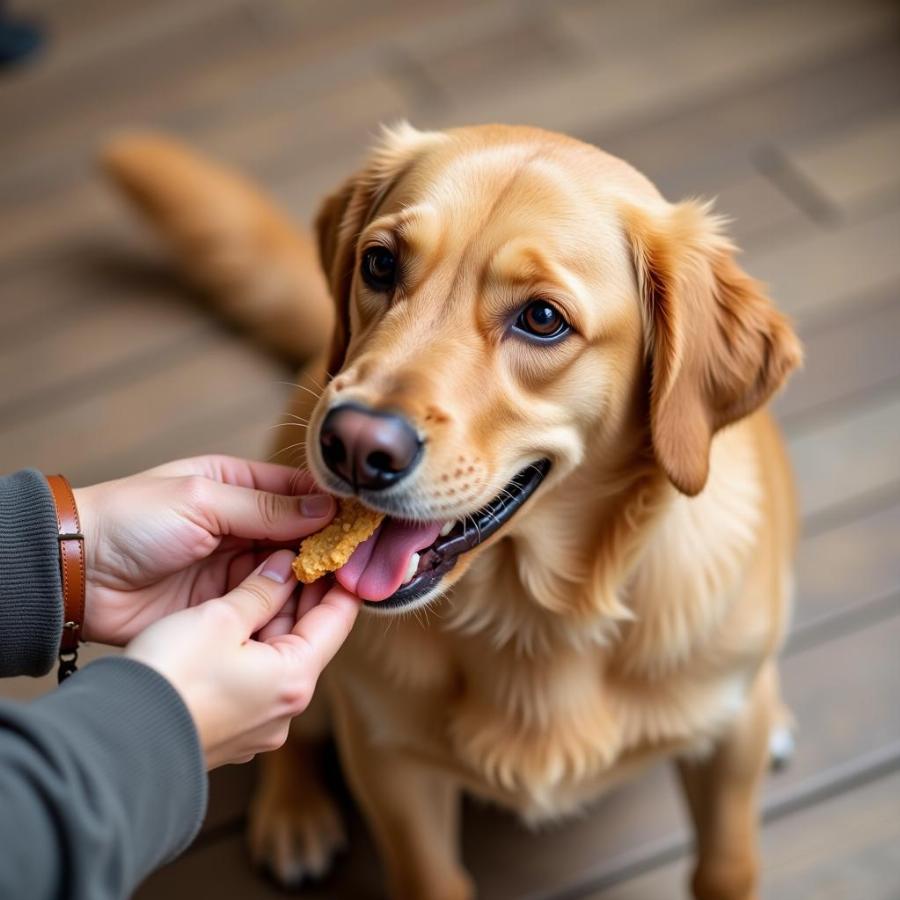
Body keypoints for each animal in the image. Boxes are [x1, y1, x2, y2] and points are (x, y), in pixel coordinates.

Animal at [103, 121, 800, 900]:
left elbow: (726, 865)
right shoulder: (390, 761)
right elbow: (430, 875)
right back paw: (293, 813)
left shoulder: (728, 747)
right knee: (295, 738)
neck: (537, 619)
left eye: (542, 318)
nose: (354, 445)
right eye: (379, 263)